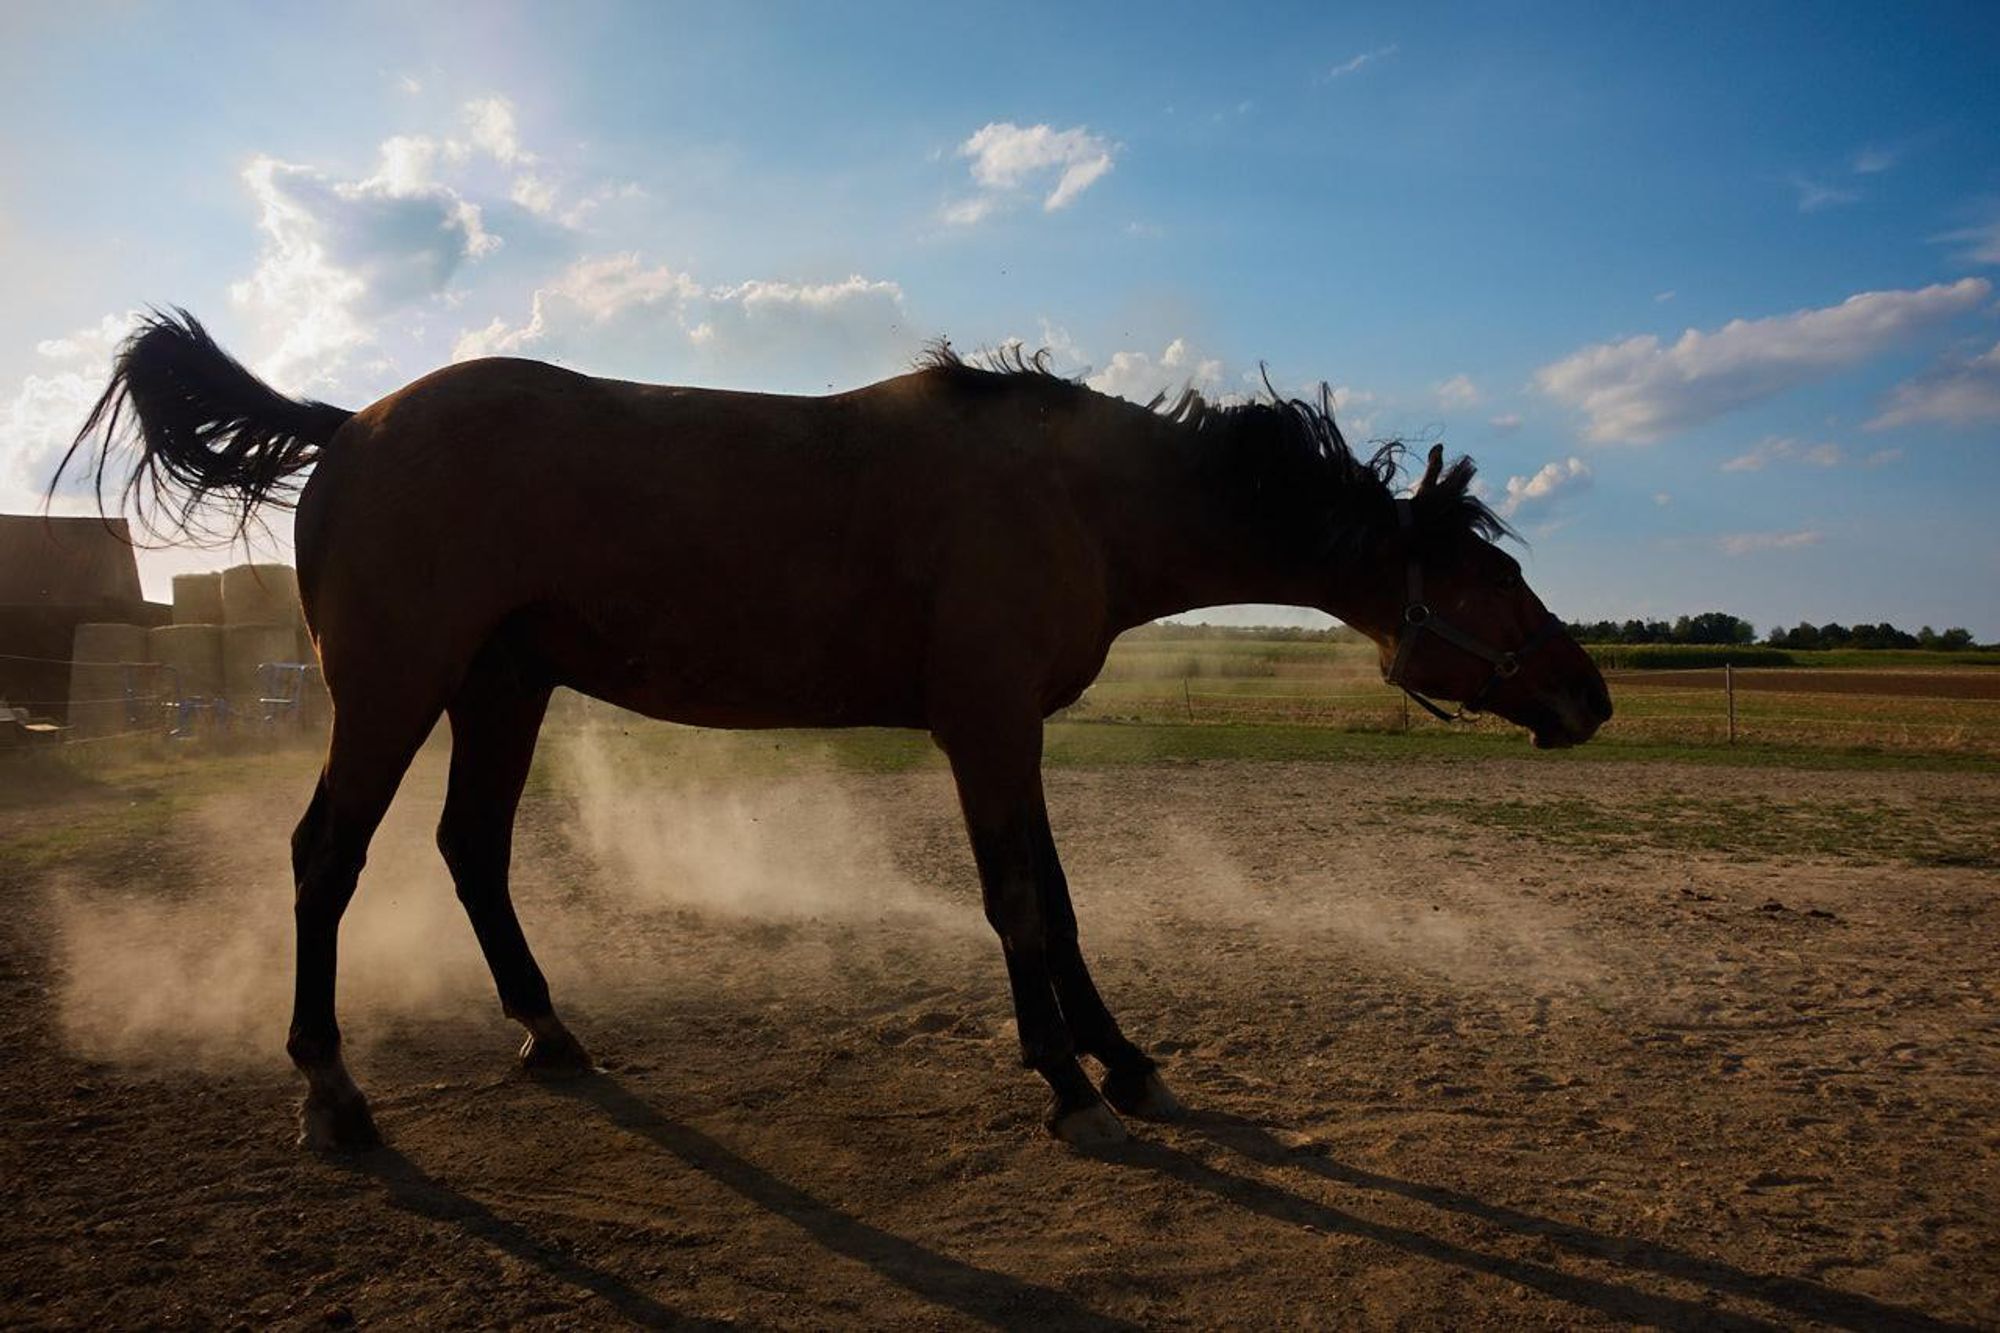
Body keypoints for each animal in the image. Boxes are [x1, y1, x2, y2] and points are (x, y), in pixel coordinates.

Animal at [58, 308, 1608, 1144]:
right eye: (1484, 573)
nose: (1588, 694)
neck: (1074, 498)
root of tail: (351, 423)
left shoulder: (1009, 732)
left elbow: (1063, 903)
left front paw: (1126, 1060)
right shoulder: (982, 727)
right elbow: (1019, 905)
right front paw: (1067, 1083)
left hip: (502, 690)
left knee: (473, 851)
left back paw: (551, 1032)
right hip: (394, 690)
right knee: (328, 858)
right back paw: (332, 1093)